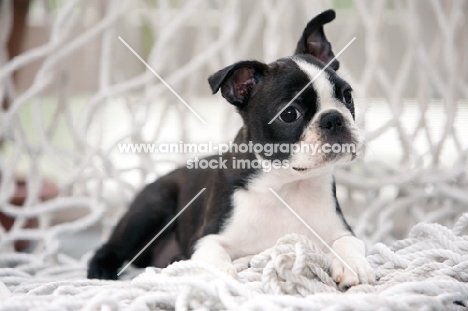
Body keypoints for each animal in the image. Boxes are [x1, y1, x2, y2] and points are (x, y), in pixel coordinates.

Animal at [89, 10, 376, 292]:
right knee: (110, 248)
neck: (286, 184)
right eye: (289, 114)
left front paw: (351, 264)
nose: (333, 119)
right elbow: (215, 255)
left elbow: (347, 243)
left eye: (347, 95)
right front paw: (218, 276)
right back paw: (101, 270)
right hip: (152, 206)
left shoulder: (342, 230)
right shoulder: (206, 237)